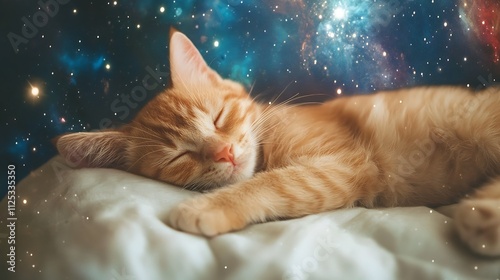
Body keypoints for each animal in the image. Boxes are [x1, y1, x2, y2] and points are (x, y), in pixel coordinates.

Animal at [54, 30, 500, 256]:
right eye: (180, 156)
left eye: (219, 117)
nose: (225, 152)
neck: (267, 141)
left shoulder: (348, 165)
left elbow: (274, 182)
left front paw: (207, 208)